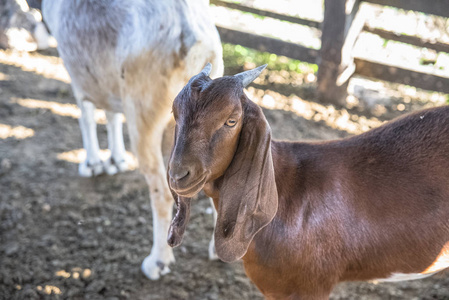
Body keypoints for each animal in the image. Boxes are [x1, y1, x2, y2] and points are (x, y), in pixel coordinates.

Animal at [42, 0, 222, 280]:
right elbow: (111, 114)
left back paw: (157, 262)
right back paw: (218, 251)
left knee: (163, 193)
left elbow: (86, 114)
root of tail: (196, 38)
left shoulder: (77, 74)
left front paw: (91, 164)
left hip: (143, 112)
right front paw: (115, 160)